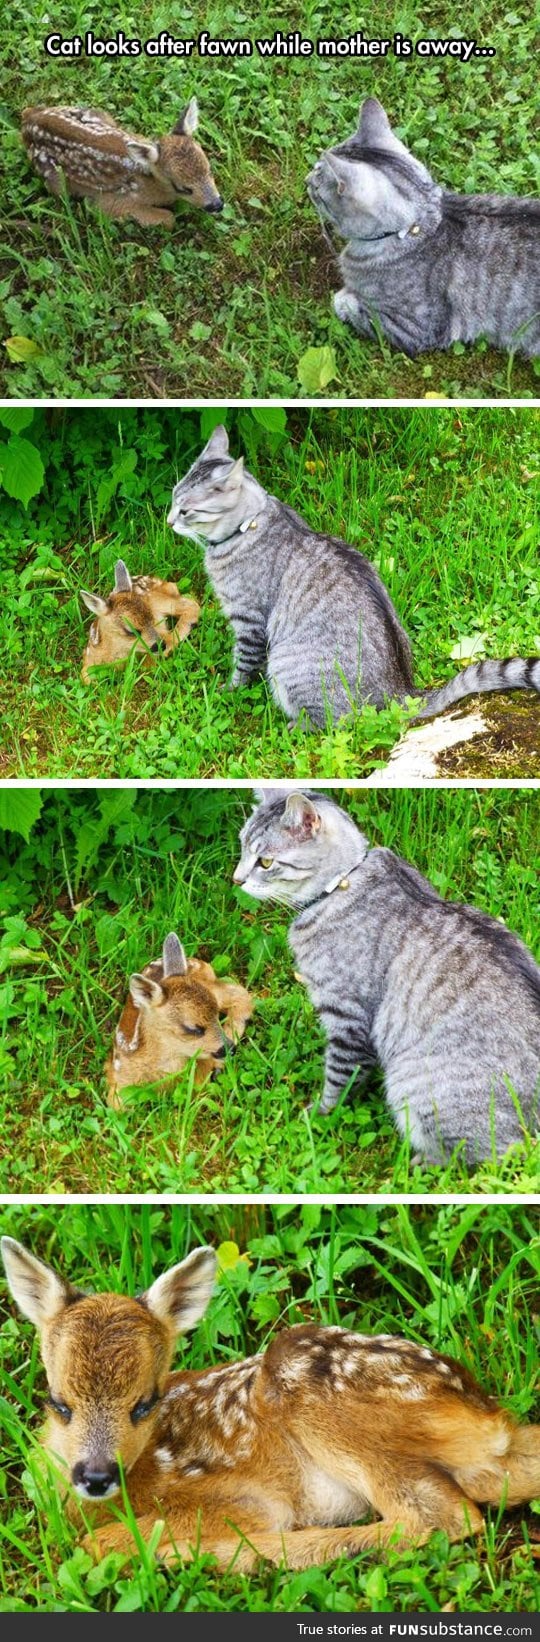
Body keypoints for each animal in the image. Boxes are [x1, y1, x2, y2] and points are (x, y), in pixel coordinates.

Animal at [168, 426, 538, 729]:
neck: (248, 524)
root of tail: (401, 691)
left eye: (186, 510)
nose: (169, 521)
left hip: (286, 665)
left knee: (329, 722)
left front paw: (228, 692)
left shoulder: (249, 620)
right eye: (172, 499)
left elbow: (243, 665)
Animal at [234, 788, 538, 1162]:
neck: (340, 884)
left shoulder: (347, 1017)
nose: (236, 879)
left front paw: (316, 1117)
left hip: (416, 1087)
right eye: (242, 847)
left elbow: (339, 1079)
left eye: (265, 862)